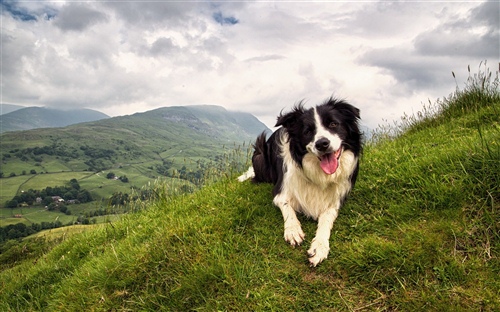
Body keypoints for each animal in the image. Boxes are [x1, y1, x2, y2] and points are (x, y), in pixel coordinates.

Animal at [239, 97, 362, 266]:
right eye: (308, 131)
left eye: (333, 124)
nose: (322, 144)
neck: (318, 174)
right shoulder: (280, 191)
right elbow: (287, 208)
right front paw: (293, 230)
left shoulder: (336, 199)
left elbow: (326, 219)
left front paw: (320, 246)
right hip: (260, 153)